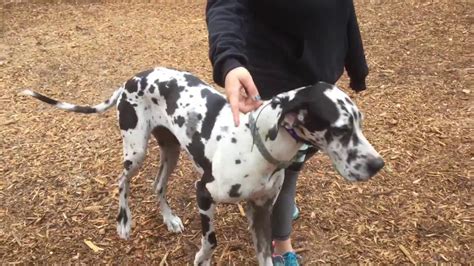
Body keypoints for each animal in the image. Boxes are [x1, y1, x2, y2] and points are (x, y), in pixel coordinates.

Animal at [23, 67, 386, 264]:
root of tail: (131, 79)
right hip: (136, 150)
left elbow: (265, 254)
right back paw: (124, 222)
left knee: (157, 184)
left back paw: (169, 219)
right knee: (121, 181)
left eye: (360, 122)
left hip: (170, 150)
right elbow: (211, 241)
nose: (378, 165)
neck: (260, 146)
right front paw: (202, 258)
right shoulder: (203, 193)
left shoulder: (262, 210)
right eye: (341, 129)